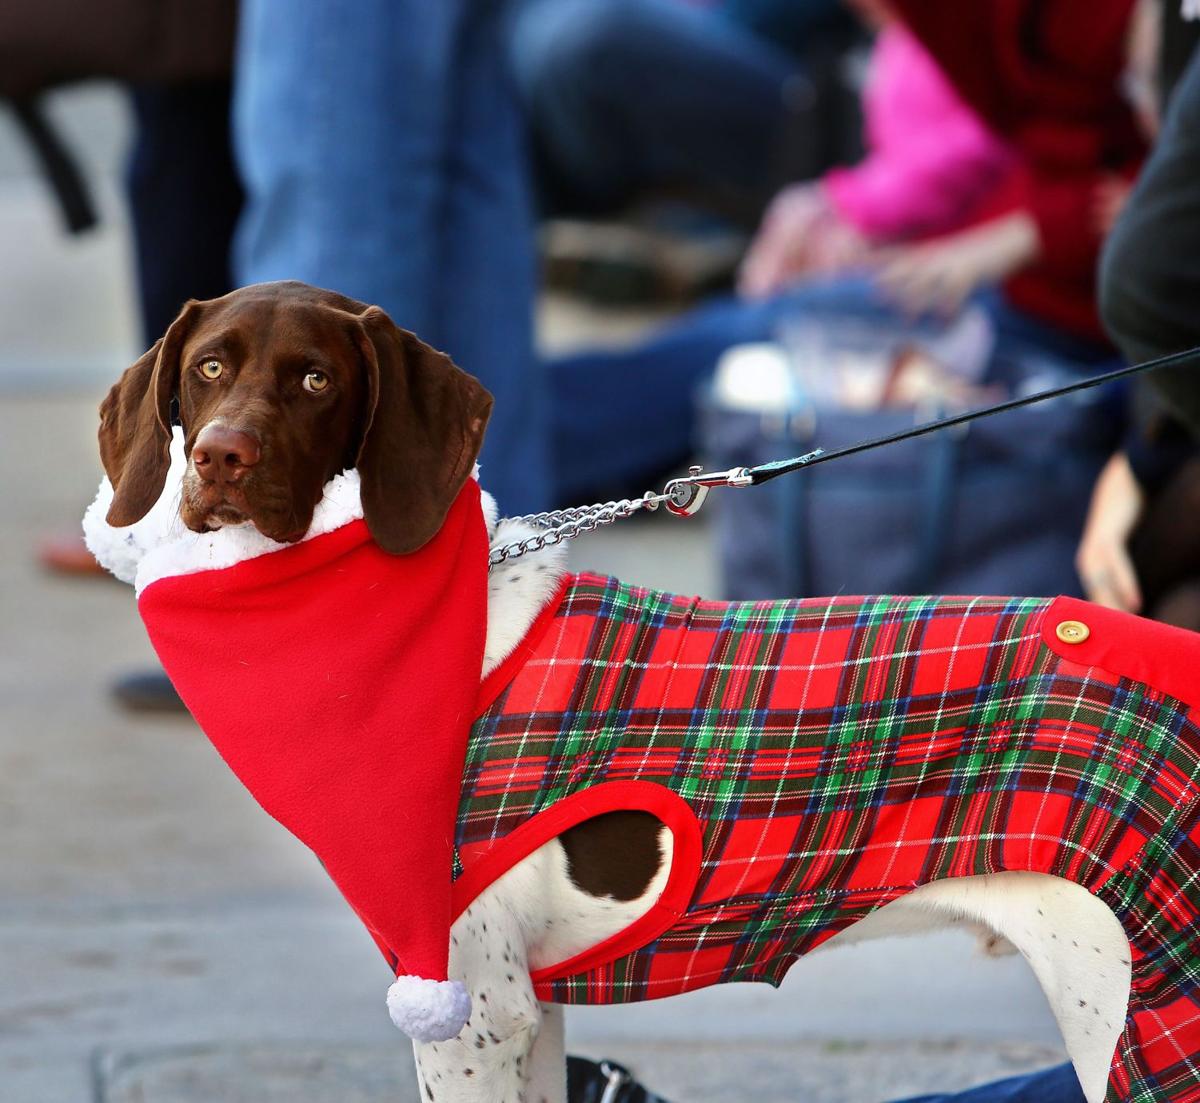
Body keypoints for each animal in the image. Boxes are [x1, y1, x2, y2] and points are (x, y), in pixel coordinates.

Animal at [87, 282, 1200, 1103]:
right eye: (209, 366)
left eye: (317, 377)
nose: (223, 455)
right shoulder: (529, 1013)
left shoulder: (470, 1009)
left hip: (1139, 999)